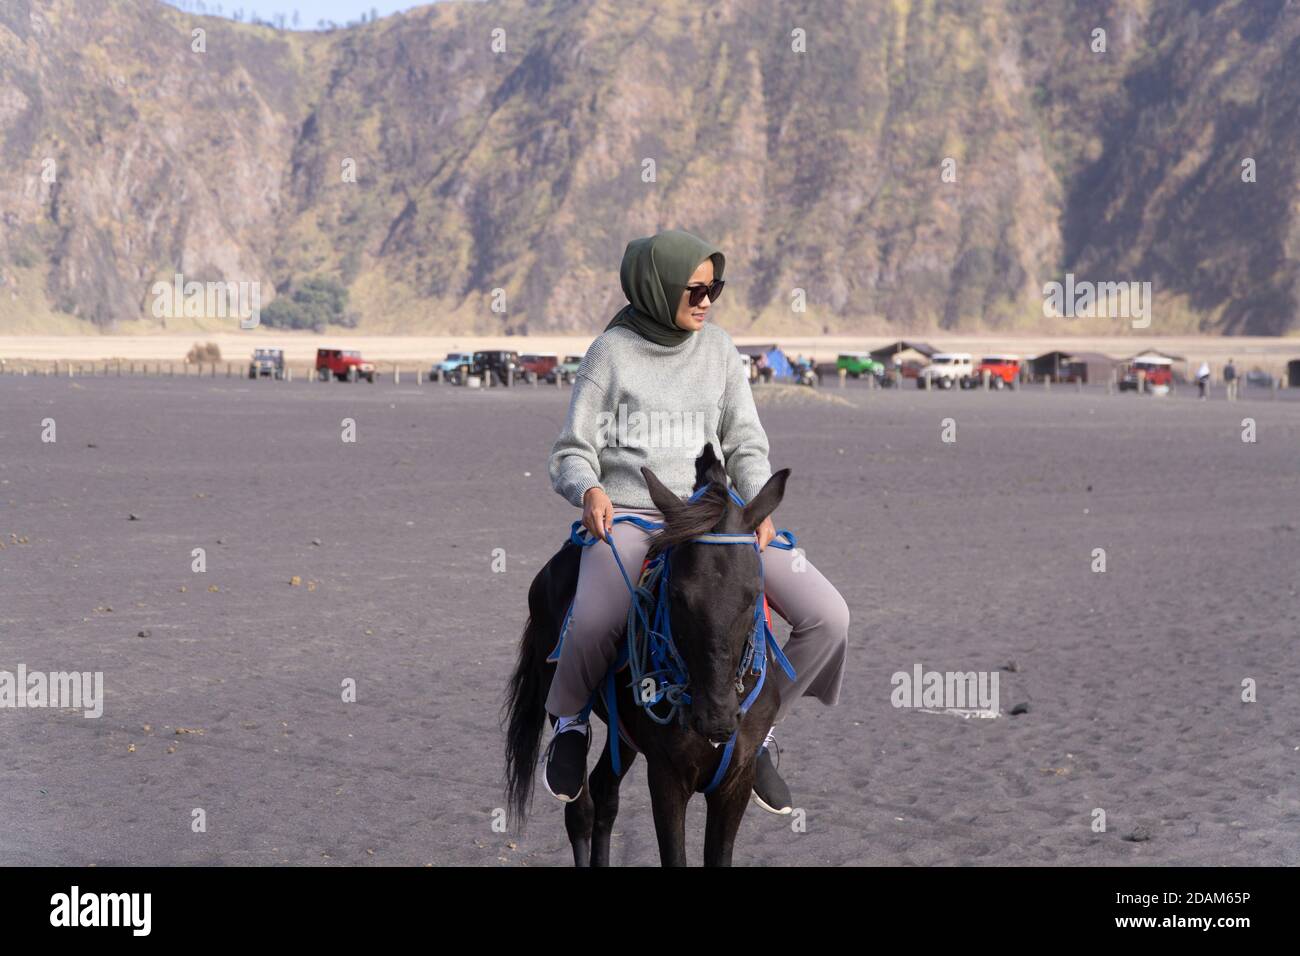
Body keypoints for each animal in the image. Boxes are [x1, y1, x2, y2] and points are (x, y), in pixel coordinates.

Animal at [501, 447, 785, 868]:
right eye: (679, 594)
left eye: (752, 594)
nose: (716, 719)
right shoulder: (666, 776)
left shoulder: (735, 781)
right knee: (580, 807)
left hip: (626, 737)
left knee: (605, 794)